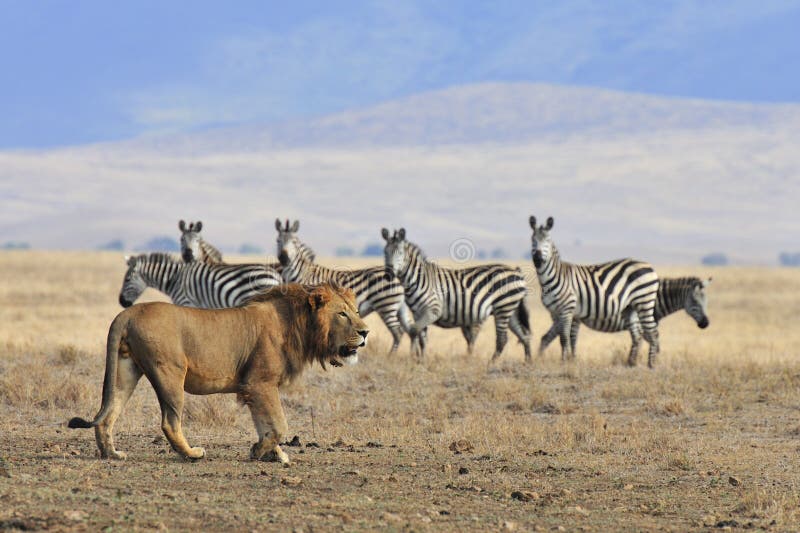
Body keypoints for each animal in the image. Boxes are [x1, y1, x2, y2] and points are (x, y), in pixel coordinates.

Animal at [69, 283, 368, 465]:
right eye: (342, 314)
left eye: (356, 311)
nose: (366, 332)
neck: (298, 325)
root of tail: (128, 313)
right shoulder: (260, 382)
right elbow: (279, 424)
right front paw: (260, 451)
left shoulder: (254, 387)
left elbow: (265, 423)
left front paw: (272, 453)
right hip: (169, 373)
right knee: (169, 422)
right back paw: (192, 454)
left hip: (126, 369)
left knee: (108, 414)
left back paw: (111, 453)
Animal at [275, 221, 411, 353]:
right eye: (278, 241)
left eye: (294, 242)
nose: (283, 258)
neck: (301, 272)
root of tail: (396, 277)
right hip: (398, 307)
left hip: (386, 306)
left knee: (398, 332)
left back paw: (391, 356)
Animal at [381, 228, 531, 362]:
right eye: (385, 252)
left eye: (400, 253)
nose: (388, 274)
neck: (419, 279)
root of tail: (516, 271)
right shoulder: (418, 313)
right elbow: (422, 338)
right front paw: (421, 360)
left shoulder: (433, 310)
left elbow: (413, 330)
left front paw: (413, 356)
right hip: (510, 309)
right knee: (524, 335)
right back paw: (528, 362)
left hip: (503, 307)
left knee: (502, 339)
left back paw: (491, 363)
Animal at [529, 215, 661, 367]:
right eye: (533, 240)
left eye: (548, 241)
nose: (537, 259)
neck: (552, 278)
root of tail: (650, 267)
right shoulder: (555, 313)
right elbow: (549, 337)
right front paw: (541, 358)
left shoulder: (567, 310)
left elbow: (564, 338)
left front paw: (564, 362)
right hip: (630, 307)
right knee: (637, 334)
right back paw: (631, 363)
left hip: (644, 302)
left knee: (653, 332)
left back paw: (651, 364)